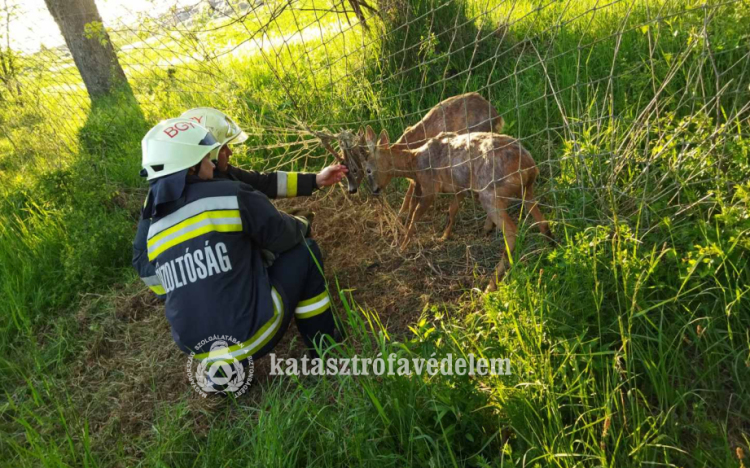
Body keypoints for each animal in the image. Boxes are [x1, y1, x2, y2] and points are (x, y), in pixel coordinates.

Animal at [364, 126, 552, 290]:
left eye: (367, 170)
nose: (374, 190)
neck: (415, 163)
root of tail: (528, 166)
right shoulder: (458, 188)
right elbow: (452, 210)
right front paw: (443, 237)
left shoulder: (430, 186)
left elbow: (416, 214)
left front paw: (402, 247)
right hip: (527, 190)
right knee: (543, 222)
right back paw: (551, 251)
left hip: (491, 194)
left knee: (512, 231)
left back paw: (490, 286)